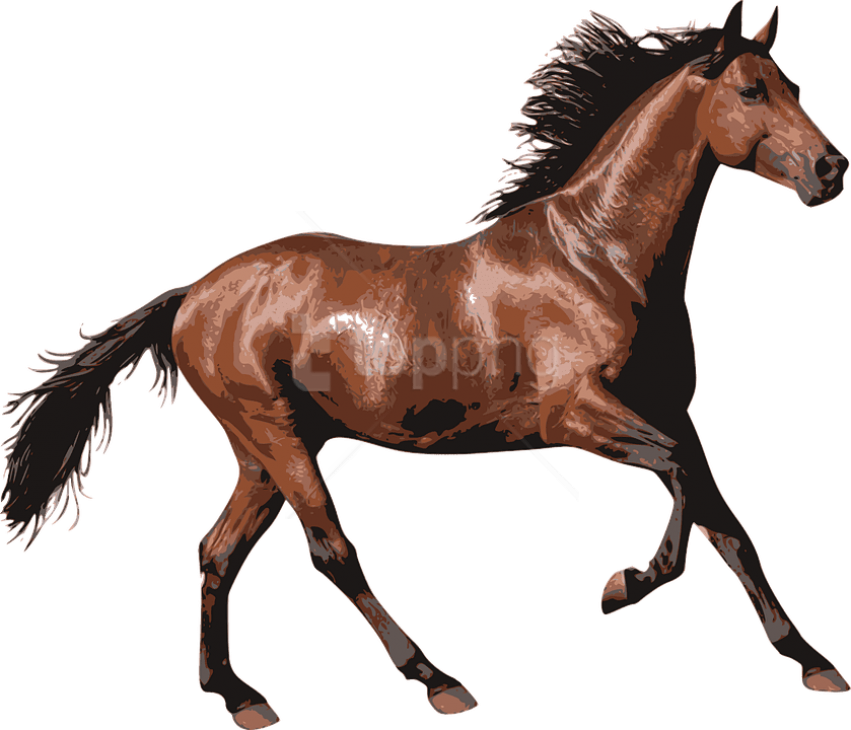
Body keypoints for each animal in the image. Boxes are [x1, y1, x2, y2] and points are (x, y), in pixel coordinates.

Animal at [2, 2, 848, 727]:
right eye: (749, 89)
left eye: (795, 86)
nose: (829, 169)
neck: (598, 260)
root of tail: (191, 294)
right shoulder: (576, 415)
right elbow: (677, 484)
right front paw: (621, 587)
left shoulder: (672, 411)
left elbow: (725, 523)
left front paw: (812, 663)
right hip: (275, 436)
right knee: (330, 552)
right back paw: (436, 680)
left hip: (263, 452)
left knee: (217, 551)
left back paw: (239, 694)